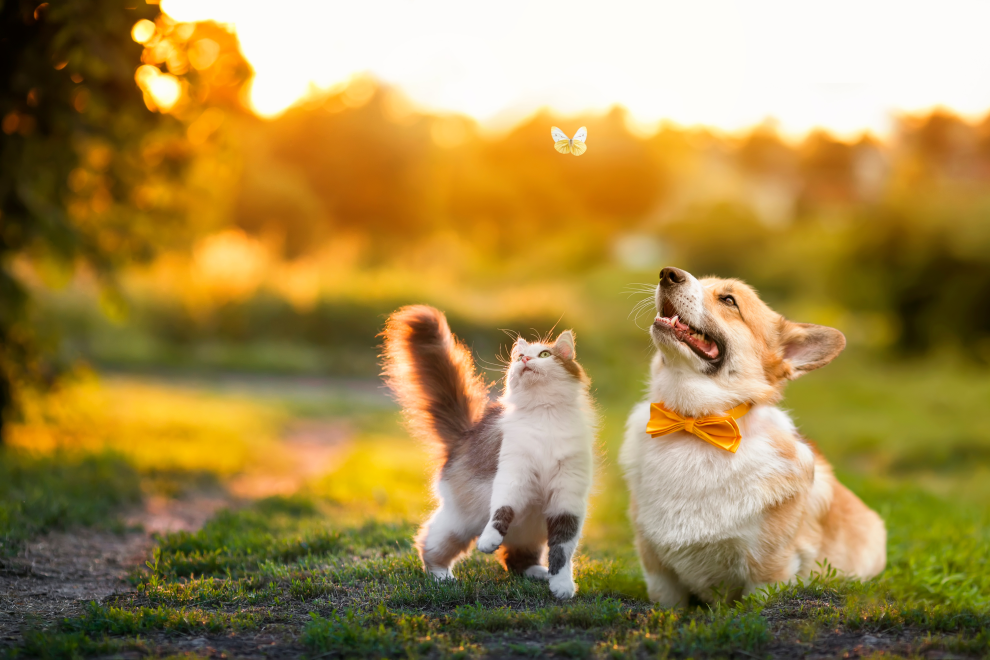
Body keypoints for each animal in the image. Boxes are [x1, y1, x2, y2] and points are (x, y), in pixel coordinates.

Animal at [382, 304, 596, 600]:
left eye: (544, 354)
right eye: (518, 357)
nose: (524, 359)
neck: (545, 415)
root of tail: (466, 433)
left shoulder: (567, 498)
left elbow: (562, 550)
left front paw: (562, 585)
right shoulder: (512, 474)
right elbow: (500, 512)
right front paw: (489, 541)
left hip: (531, 529)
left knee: (516, 559)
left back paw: (538, 573)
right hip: (460, 522)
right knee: (429, 544)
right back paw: (442, 577)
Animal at [620, 266, 892, 604]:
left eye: (728, 300)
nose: (667, 273)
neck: (695, 422)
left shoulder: (767, 570)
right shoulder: (658, 570)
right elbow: (669, 604)